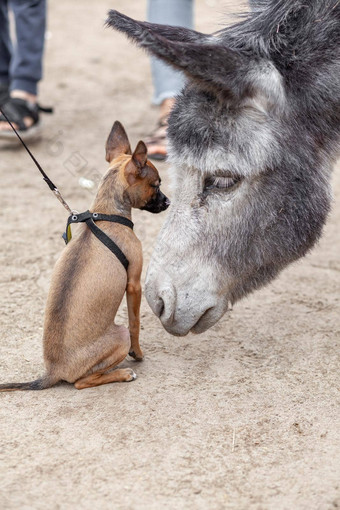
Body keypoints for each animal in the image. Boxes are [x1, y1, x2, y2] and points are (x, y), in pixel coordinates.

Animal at [0, 122, 170, 390]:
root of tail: (53, 371)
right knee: (82, 382)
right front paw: (138, 353)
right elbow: (135, 324)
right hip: (118, 335)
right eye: (156, 185)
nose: (168, 202)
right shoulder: (134, 285)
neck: (106, 214)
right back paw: (123, 373)